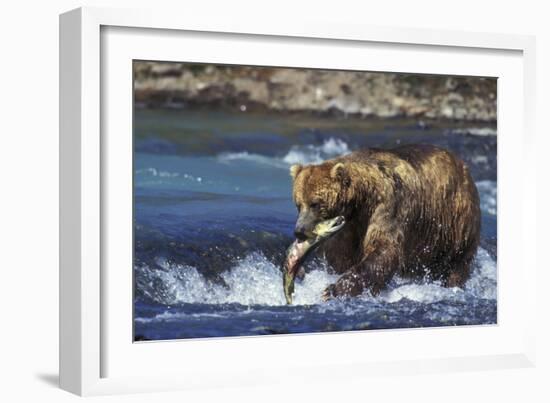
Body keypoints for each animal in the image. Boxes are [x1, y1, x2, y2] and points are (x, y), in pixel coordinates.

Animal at [292, 145, 480, 300]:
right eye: (298, 204)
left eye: (315, 204)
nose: (299, 230)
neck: (360, 202)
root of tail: (463, 165)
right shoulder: (350, 226)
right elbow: (338, 255)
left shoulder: (388, 206)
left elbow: (384, 250)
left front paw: (332, 290)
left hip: (455, 220)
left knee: (458, 261)